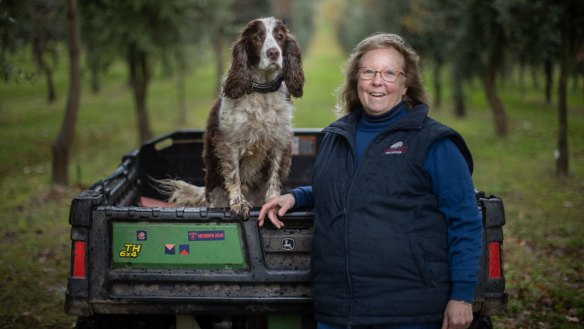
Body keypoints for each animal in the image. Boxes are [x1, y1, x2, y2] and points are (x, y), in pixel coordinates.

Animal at [160, 16, 306, 219]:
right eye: (257, 38)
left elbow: (275, 177)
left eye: (280, 36)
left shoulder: (280, 141)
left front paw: (273, 203)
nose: (273, 53)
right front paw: (239, 204)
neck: (263, 94)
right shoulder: (229, 144)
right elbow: (234, 175)